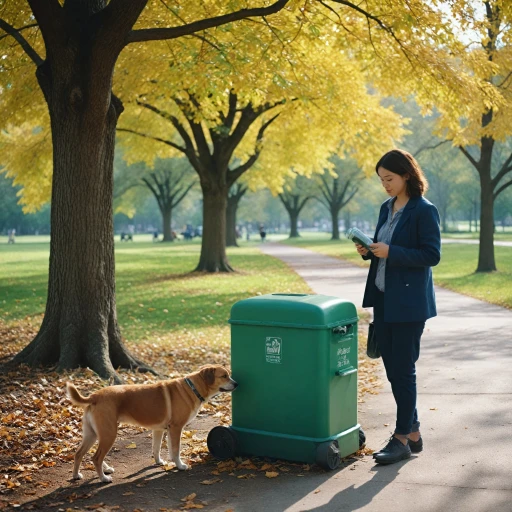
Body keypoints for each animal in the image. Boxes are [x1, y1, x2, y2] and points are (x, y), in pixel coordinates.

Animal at [65, 366, 238, 482]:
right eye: (224, 375)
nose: (236, 384)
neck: (192, 387)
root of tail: (94, 396)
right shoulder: (176, 428)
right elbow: (176, 449)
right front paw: (180, 466)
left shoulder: (159, 430)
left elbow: (157, 448)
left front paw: (160, 462)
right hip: (109, 433)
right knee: (96, 457)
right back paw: (103, 478)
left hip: (93, 434)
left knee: (80, 453)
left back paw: (78, 475)